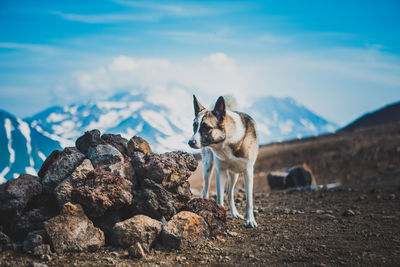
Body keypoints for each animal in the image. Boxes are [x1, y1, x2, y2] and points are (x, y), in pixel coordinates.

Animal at [188, 95, 258, 227]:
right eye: (194, 126)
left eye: (206, 127)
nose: (190, 142)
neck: (226, 141)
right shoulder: (220, 171)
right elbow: (219, 198)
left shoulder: (248, 172)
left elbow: (249, 201)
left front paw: (250, 220)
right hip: (208, 168)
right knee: (205, 190)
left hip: (234, 174)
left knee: (229, 193)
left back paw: (234, 213)